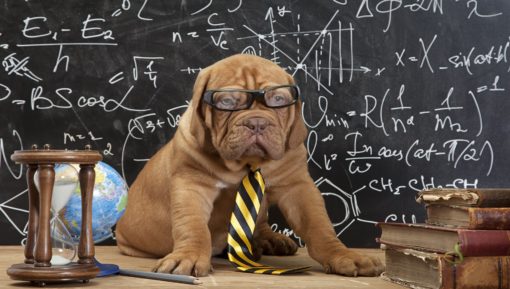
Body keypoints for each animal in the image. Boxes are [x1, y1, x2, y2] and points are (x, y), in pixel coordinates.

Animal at [115, 53, 384, 276]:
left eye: (278, 99)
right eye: (227, 102)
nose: (257, 123)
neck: (246, 164)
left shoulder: (298, 187)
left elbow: (319, 226)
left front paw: (344, 255)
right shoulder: (191, 185)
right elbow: (192, 226)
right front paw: (188, 257)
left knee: (262, 223)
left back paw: (270, 241)